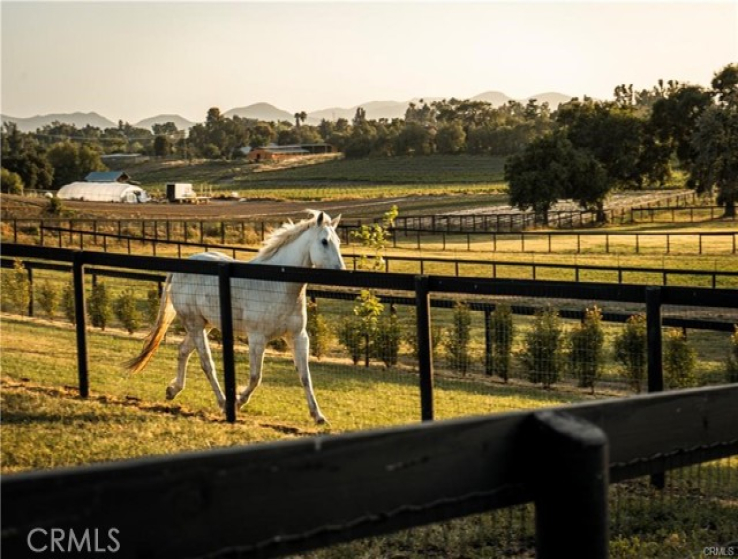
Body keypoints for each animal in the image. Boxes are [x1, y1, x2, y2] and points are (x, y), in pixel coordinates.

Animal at [124, 211, 344, 424]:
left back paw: (173, 390)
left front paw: (318, 416)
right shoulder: (257, 338)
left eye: (339, 241)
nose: (341, 272)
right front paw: (238, 402)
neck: (276, 285)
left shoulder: (298, 336)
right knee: (207, 363)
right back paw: (223, 403)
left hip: (206, 324)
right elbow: (256, 377)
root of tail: (179, 270)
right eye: (324, 241)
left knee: (183, 350)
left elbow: (305, 376)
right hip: (195, 324)